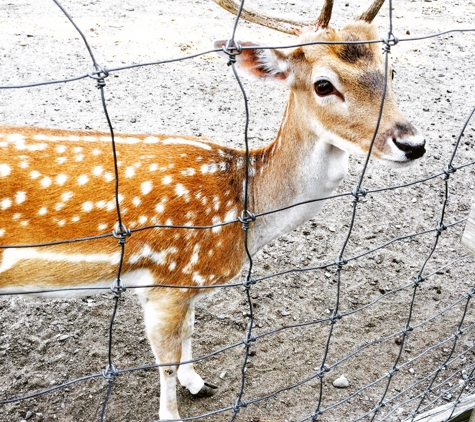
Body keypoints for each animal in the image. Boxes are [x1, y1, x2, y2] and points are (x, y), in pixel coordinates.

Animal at [0, 0, 426, 420]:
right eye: (324, 85)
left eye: (390, 69)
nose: (413, 144)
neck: (243, 217)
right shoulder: (166, 279)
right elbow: (166, 360)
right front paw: (173, 410)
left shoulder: (187, 281)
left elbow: (191, 329)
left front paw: (197, 381)